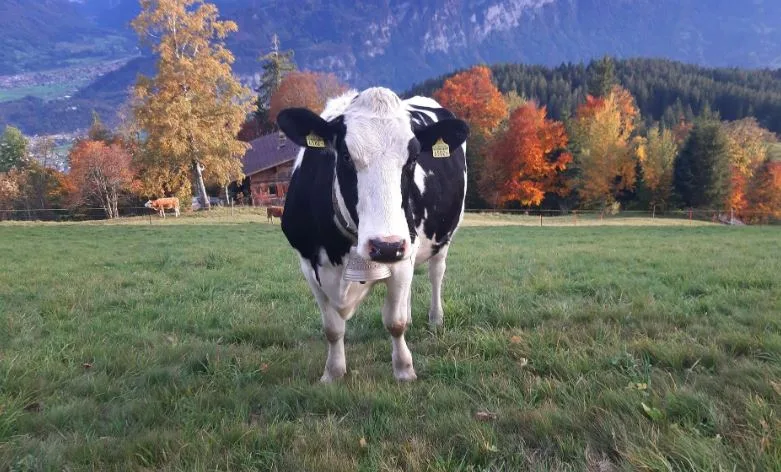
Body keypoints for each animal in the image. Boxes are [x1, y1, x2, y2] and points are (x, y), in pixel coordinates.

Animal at [277, 87, 469, 382]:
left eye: (413, 158)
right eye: (345, 155)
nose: (385, 247)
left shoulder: (404, 251)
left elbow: (394, 322)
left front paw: (404, 370)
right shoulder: (308, 264)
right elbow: (332, 328)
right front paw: (333, 373)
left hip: (442, 238)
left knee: (436, 273)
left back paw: (436, 319)